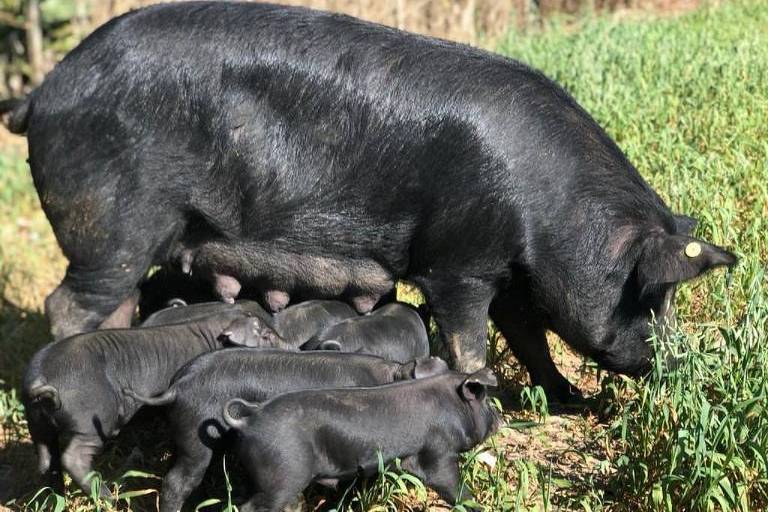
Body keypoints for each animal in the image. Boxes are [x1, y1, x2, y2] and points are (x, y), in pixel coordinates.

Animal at [4, 1, 736, 400]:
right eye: (651, 293)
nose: (677, 363)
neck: (554, 214)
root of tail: (43, 93)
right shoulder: (457, 262)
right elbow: (471, 340)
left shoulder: (514, 275)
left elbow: (532, 340)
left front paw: (572, 401)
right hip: (112, 225)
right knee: (69, 303)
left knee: (117, 307)